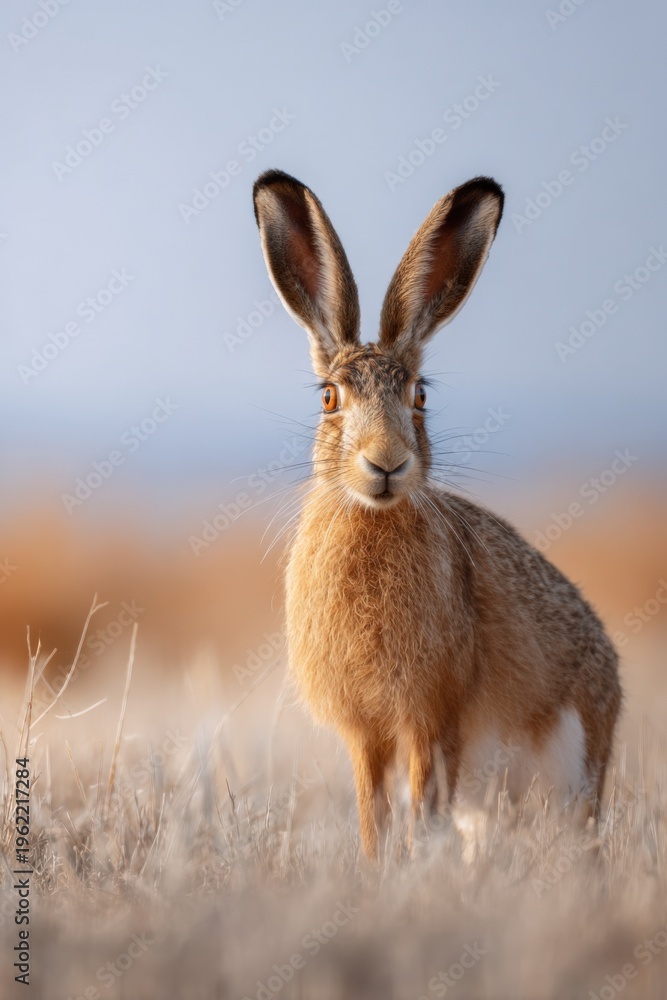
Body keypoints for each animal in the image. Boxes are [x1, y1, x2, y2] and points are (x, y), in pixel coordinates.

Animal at [252, 169, 622, 859]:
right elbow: (373, 812)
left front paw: (414, 865)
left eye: (419, 396)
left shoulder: (433, 718)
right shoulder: (368, 733)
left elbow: (422, 806)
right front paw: (377, 869)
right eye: (329, 398)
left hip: (571, 773)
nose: (386, 462)